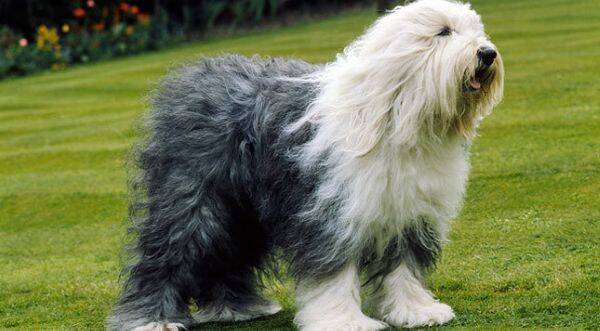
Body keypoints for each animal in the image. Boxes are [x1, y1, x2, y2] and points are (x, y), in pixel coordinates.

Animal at [106, 0, 502, 330]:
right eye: (443, 32)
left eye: (476, 29)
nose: (487, 53)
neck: (397, 116)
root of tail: (194, 76)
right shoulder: (328, 211)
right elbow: (333, 271)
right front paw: (345, 321)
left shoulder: (409, 211)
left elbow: (405, 267)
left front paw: (417, 312)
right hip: (194, 199)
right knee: (169, 252)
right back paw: (152, 320)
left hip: (241, 211)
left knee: (227, 254)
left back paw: (235, 308)